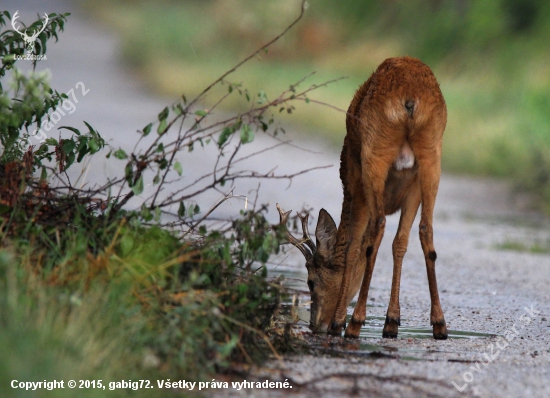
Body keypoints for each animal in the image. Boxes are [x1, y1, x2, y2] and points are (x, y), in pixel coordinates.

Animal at [280, 56, 448, 338]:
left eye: (311, 281)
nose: (315, 325)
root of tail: (410, 98)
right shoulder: (411, 189)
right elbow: (400, 243)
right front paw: (392, 320)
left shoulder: (354, 184)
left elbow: (353, 247)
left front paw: (339, 322)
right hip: (432, 156)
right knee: (426, 228)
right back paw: (439, 324)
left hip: (374, 156)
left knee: (377, 229)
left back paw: (354, 323)